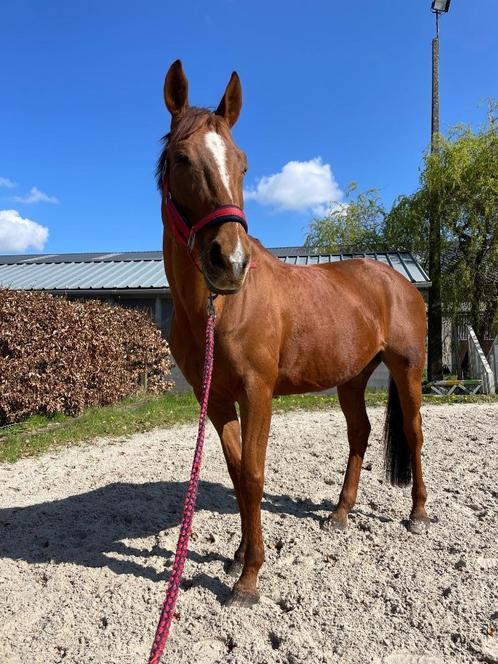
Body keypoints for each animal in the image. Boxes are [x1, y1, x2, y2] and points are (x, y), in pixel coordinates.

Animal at [159, 62, 428, 608]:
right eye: (181, 158)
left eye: (242, 165)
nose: (231, 262)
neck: (218, 309)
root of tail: (400, 282)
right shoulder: (214, 398)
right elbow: (237, 472)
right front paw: (238, 556)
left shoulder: (257, 392)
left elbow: (254, 474)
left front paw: (249, 578)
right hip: (352, 378)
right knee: (359, 434)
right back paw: (340, 514)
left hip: (408, 369)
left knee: (413, 433)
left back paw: (417, 514)